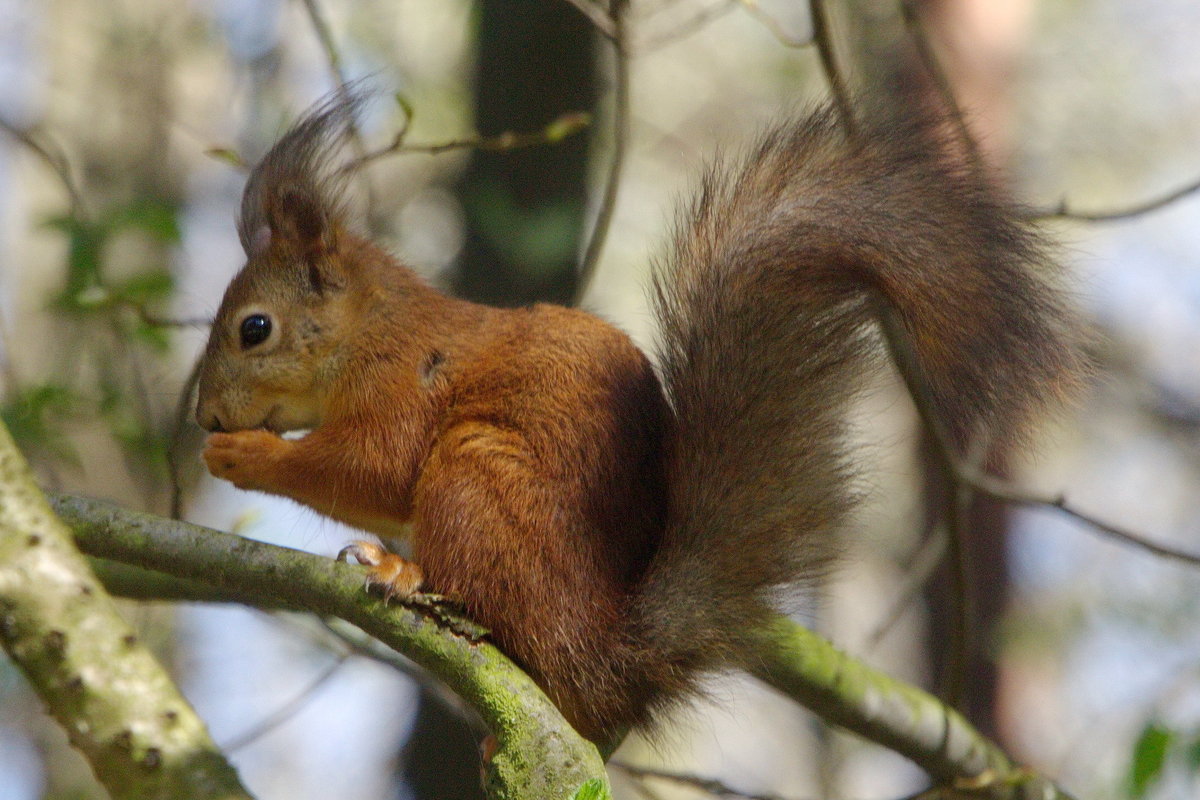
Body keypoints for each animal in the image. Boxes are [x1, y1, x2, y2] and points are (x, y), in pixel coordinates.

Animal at [194, 92, 1080, 743]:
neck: (370, 331)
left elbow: (371, 467)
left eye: (254, 329)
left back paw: (409, 573)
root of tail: (602, 650)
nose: (203, 416)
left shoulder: (402, 386)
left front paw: (245, 456)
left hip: (478, 471)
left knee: (499, 612)